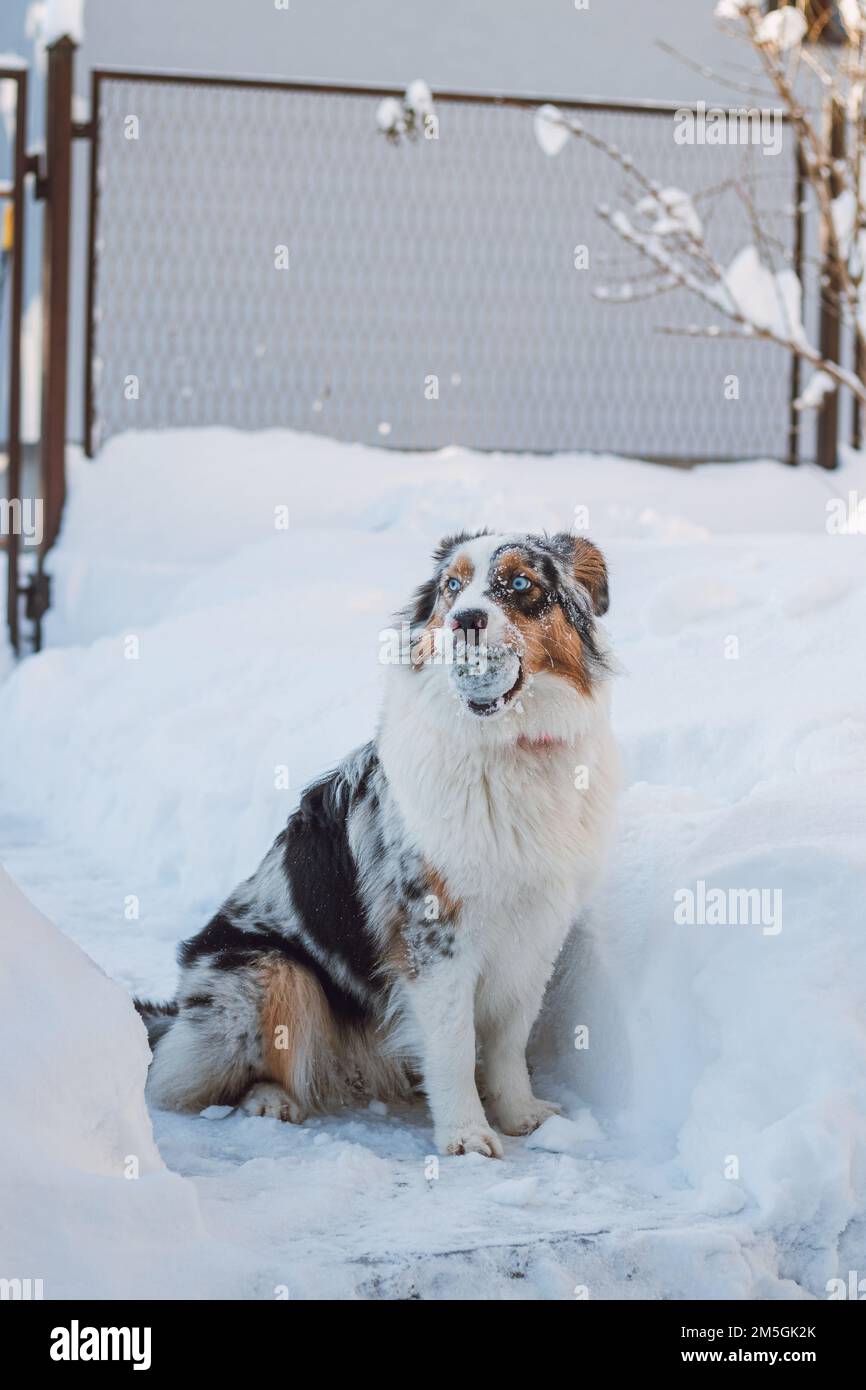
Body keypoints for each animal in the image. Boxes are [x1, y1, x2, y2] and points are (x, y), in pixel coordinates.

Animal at [139, 525, 619, 1156]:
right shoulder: (431, 933)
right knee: (198, 1078)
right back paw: (271, 1101)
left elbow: (510, 1040)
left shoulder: (537, 926)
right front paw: (466, 1136)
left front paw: (521, 1115)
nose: (466, 620)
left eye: (520, 584)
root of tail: (177, 1008)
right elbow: (454, 1043)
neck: (507, 748)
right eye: (452, 587)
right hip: (268, 973)